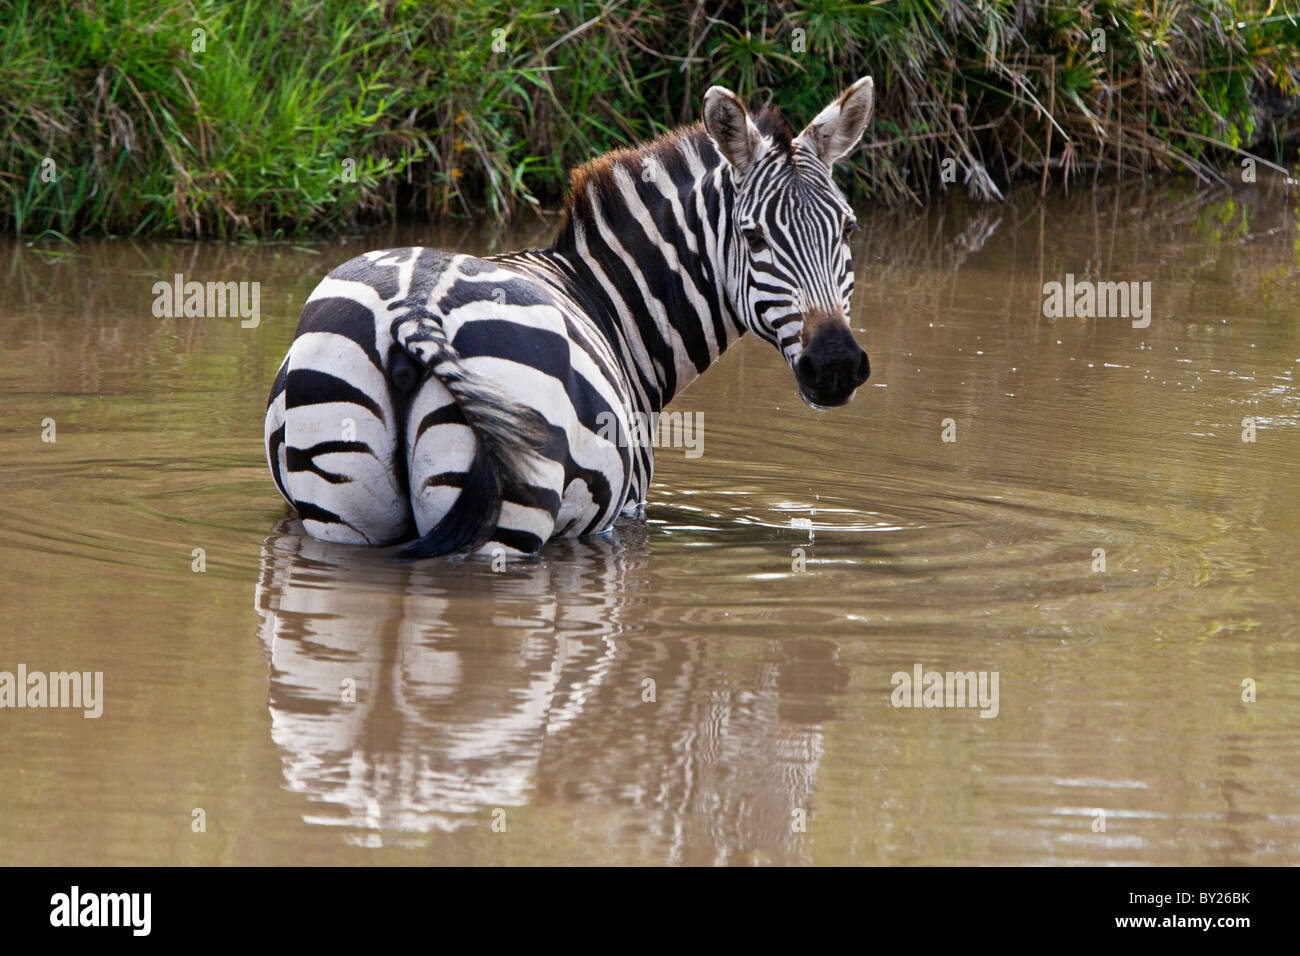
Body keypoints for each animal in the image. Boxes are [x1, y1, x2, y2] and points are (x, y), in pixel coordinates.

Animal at [263, 80, 873, 561]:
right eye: (754, 236)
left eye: (848, 228)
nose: (836, 366)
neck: (607, 298)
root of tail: (415, 308)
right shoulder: (625, 511)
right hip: (505, 521)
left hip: (342, 516)